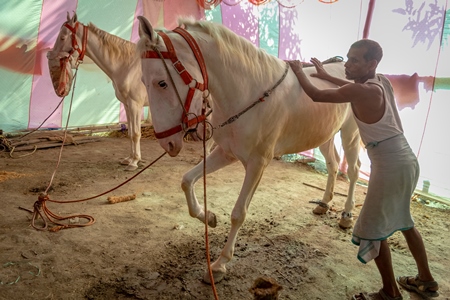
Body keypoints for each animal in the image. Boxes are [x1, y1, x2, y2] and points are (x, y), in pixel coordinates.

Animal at [48, 12, 149, 170]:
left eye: (63, 37)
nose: (52, 56)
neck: (128, 67)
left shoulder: (135, 105)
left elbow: (136, 133)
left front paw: (134, 162)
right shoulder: (127, 105)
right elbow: (130, 132)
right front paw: (130, 159)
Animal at [137, 16, 362, 284]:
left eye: (161, 82)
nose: (167, 143)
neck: (249, 92)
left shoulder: (257, 163)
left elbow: (238, 213)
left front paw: (219, 265)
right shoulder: (226, 153)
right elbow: (187, 180)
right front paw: (209, 216)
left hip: (350, 133)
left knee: (354, 170)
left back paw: (347, 215)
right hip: (324, 135)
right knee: (333, 164)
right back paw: (324, 203)